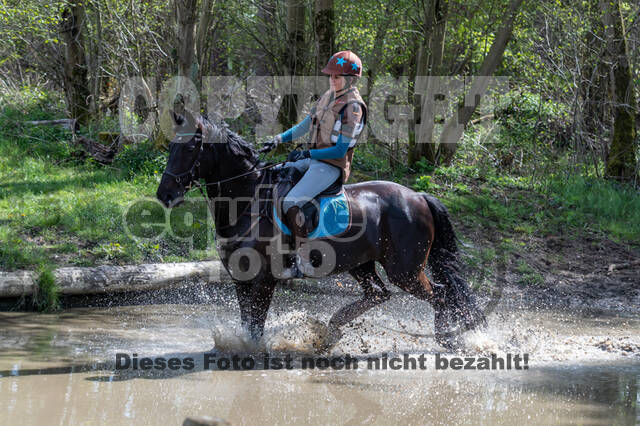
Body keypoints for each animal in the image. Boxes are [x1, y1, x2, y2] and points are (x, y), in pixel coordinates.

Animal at [155, 110, 484, 350]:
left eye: (190, 147)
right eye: (170, 146)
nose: (164, 195)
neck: (247, 198)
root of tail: (417, 197)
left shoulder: (263, 280)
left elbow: (255, 326)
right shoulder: (241, 279)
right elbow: (248, 321)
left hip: (405, 271)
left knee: (439, 294)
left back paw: (447, 338)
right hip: (361, 263)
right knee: (379, 294)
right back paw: (331, 329)